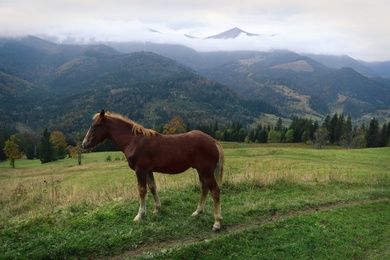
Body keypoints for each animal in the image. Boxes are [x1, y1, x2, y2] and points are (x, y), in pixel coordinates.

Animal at [80, 108, 224, 231]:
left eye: (95, 126)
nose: (84, 144)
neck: (133, 141)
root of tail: (212, 140)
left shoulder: (140, 170)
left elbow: (142, 191)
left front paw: (140, 215)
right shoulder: (148, 170)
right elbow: (152, 188)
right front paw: (157, 209)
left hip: (206, 171)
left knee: (215, 191)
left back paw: (217, 222)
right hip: (201, 171)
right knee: (204, 188)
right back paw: (198, 212)